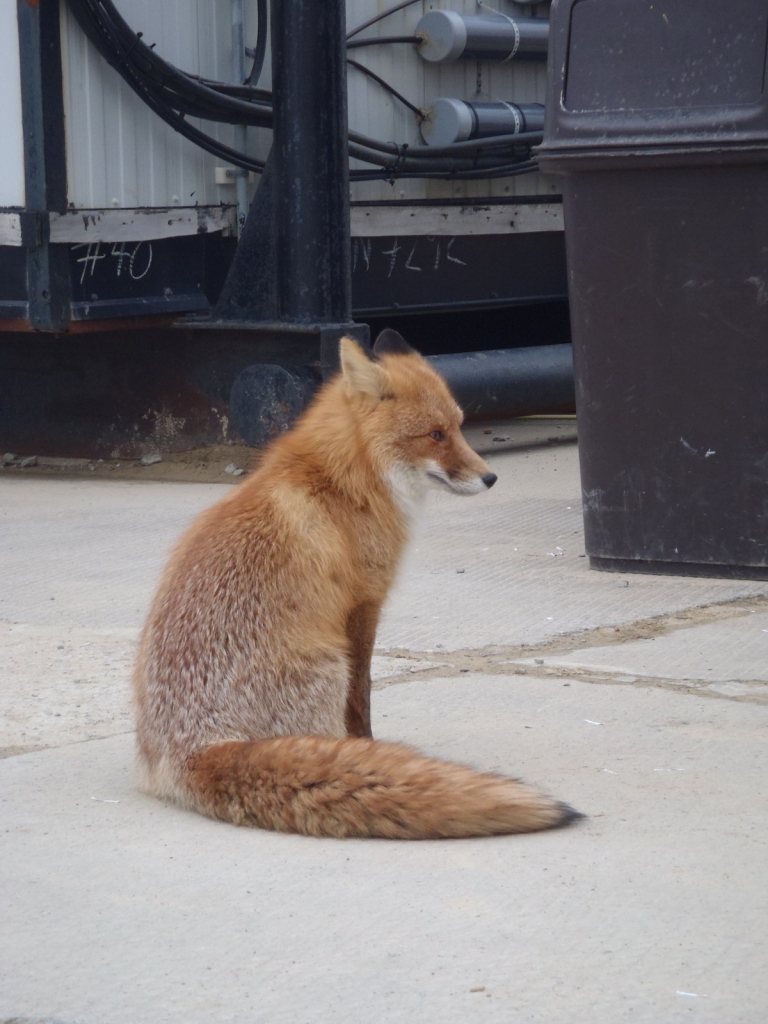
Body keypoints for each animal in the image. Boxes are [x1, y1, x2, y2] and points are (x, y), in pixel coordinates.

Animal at [133, 329, 582, 839]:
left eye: (459, 427)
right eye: (436, 434)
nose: (490, 477)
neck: (343, 480)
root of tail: (192, 750)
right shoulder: (364, 604)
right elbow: (362, 699)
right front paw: (368, 747)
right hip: (330, 664)